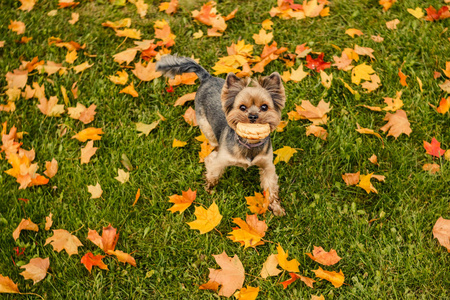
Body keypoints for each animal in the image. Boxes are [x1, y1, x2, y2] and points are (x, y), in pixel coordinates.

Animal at [156, 55, 286, 216]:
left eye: (264, 107)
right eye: (242, 107)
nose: (253, 116)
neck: (248, 143)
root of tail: (207, 77)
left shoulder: (267, 166)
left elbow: (271, 188)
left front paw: (276, 208)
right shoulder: (219, 161)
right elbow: (213, 173)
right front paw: (209, 189)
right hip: (206, 127)